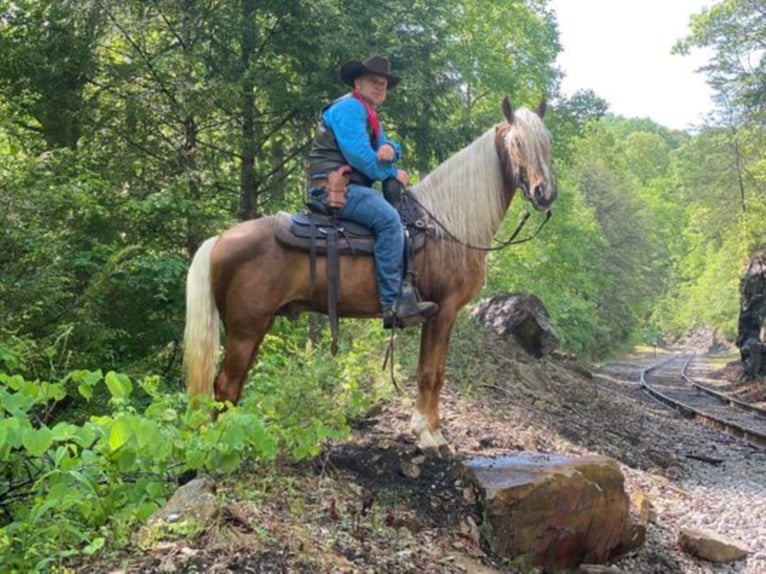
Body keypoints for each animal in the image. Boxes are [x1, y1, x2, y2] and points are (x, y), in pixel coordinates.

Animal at [186, 97, 560, 452]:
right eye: (516, 143)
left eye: (547, 142)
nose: (545, 193)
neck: (446, 228)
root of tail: (220, 238)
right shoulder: (444, 311)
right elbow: (430, 373)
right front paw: (428, 436)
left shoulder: (440, 315)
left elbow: (434, 372)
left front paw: (430, 431)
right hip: (246, 328)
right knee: (225, 385)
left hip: (254, 327)